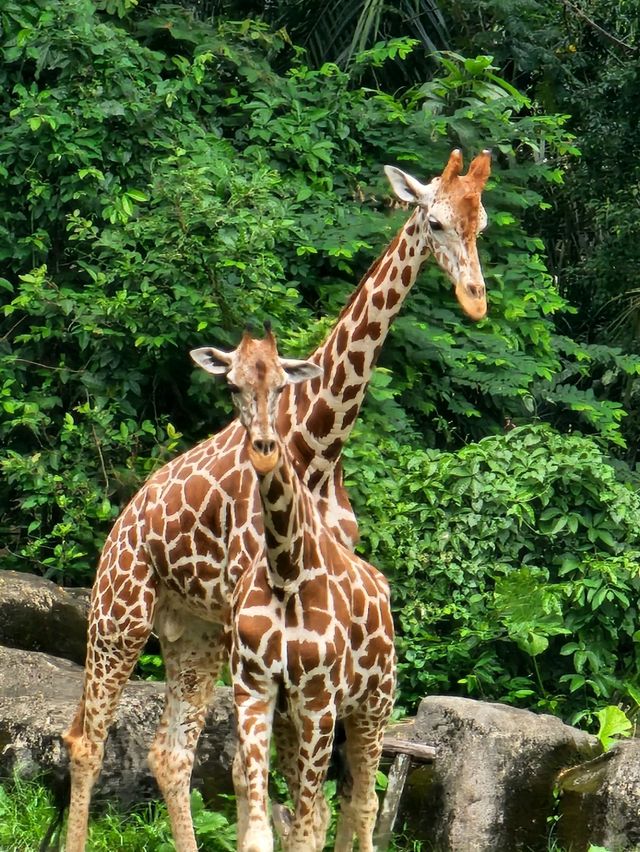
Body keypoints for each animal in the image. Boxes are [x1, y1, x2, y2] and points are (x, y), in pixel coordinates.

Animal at [192, 330, 398, 852]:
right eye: (233, 386)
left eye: (284, 386)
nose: (265, 446)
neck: (287, 571)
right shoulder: (255, 689)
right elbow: (262, 829)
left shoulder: (320, 701)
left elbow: (305, 830)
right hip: (298, 720)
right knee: (337, 805)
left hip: (373, 708)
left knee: (365, 803)